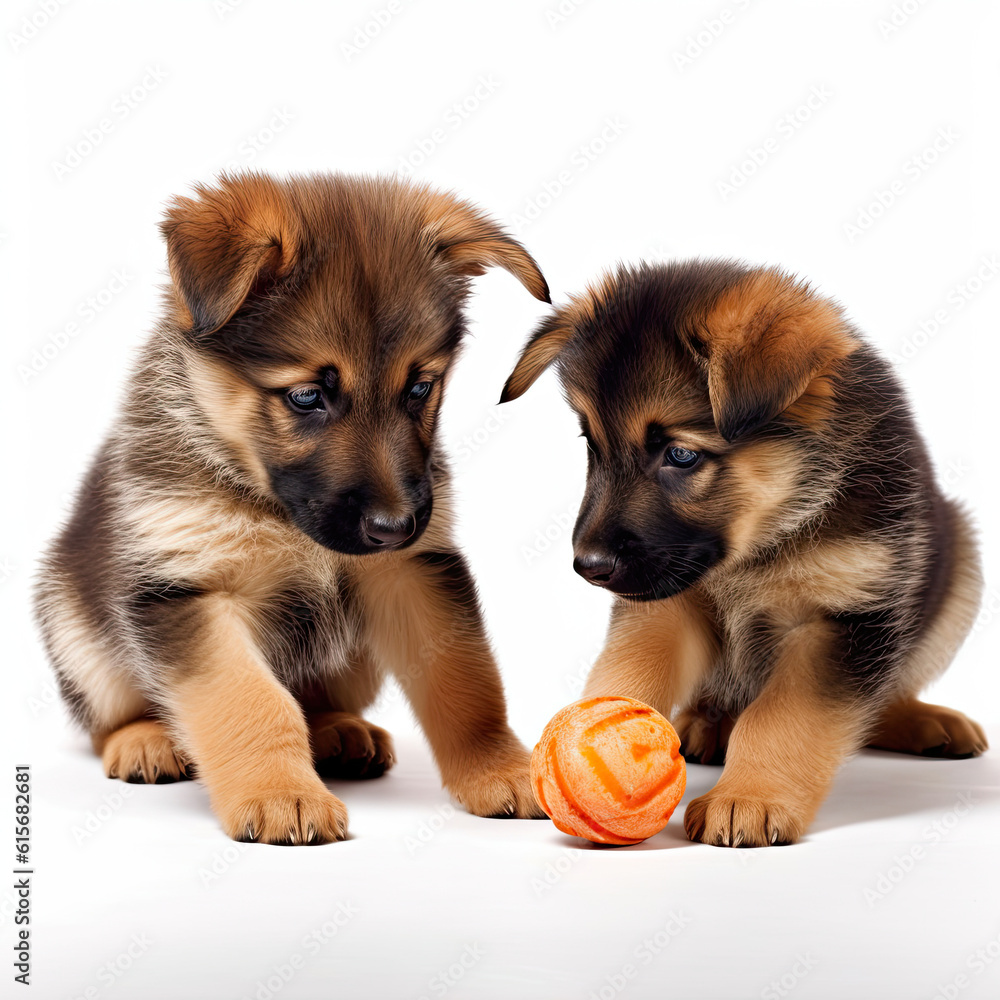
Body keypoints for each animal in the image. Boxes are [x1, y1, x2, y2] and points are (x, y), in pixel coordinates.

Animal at [33, 172, 548, 844]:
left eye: (419, 388)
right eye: (306, 397)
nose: (396, 527)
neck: (274, 509)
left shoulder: (413, 573)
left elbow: (466, 683)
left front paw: (500, 767)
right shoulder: (193, 592)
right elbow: (251, 702)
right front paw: (280, 794)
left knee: (317, 699)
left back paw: (339, 732)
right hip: (76, 633)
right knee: (112, 716)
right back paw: (146, 740)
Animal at [504, 258, 988, 844]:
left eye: (681, 455)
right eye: (593, 446)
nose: (588, 567)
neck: (762, 544)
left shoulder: (842, 619)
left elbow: (783, 717)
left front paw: (750, 796)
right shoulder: (665, 605)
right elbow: (625, 673)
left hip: (961, 571)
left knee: (886, 694)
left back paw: (921, 720)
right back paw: (705, 723)